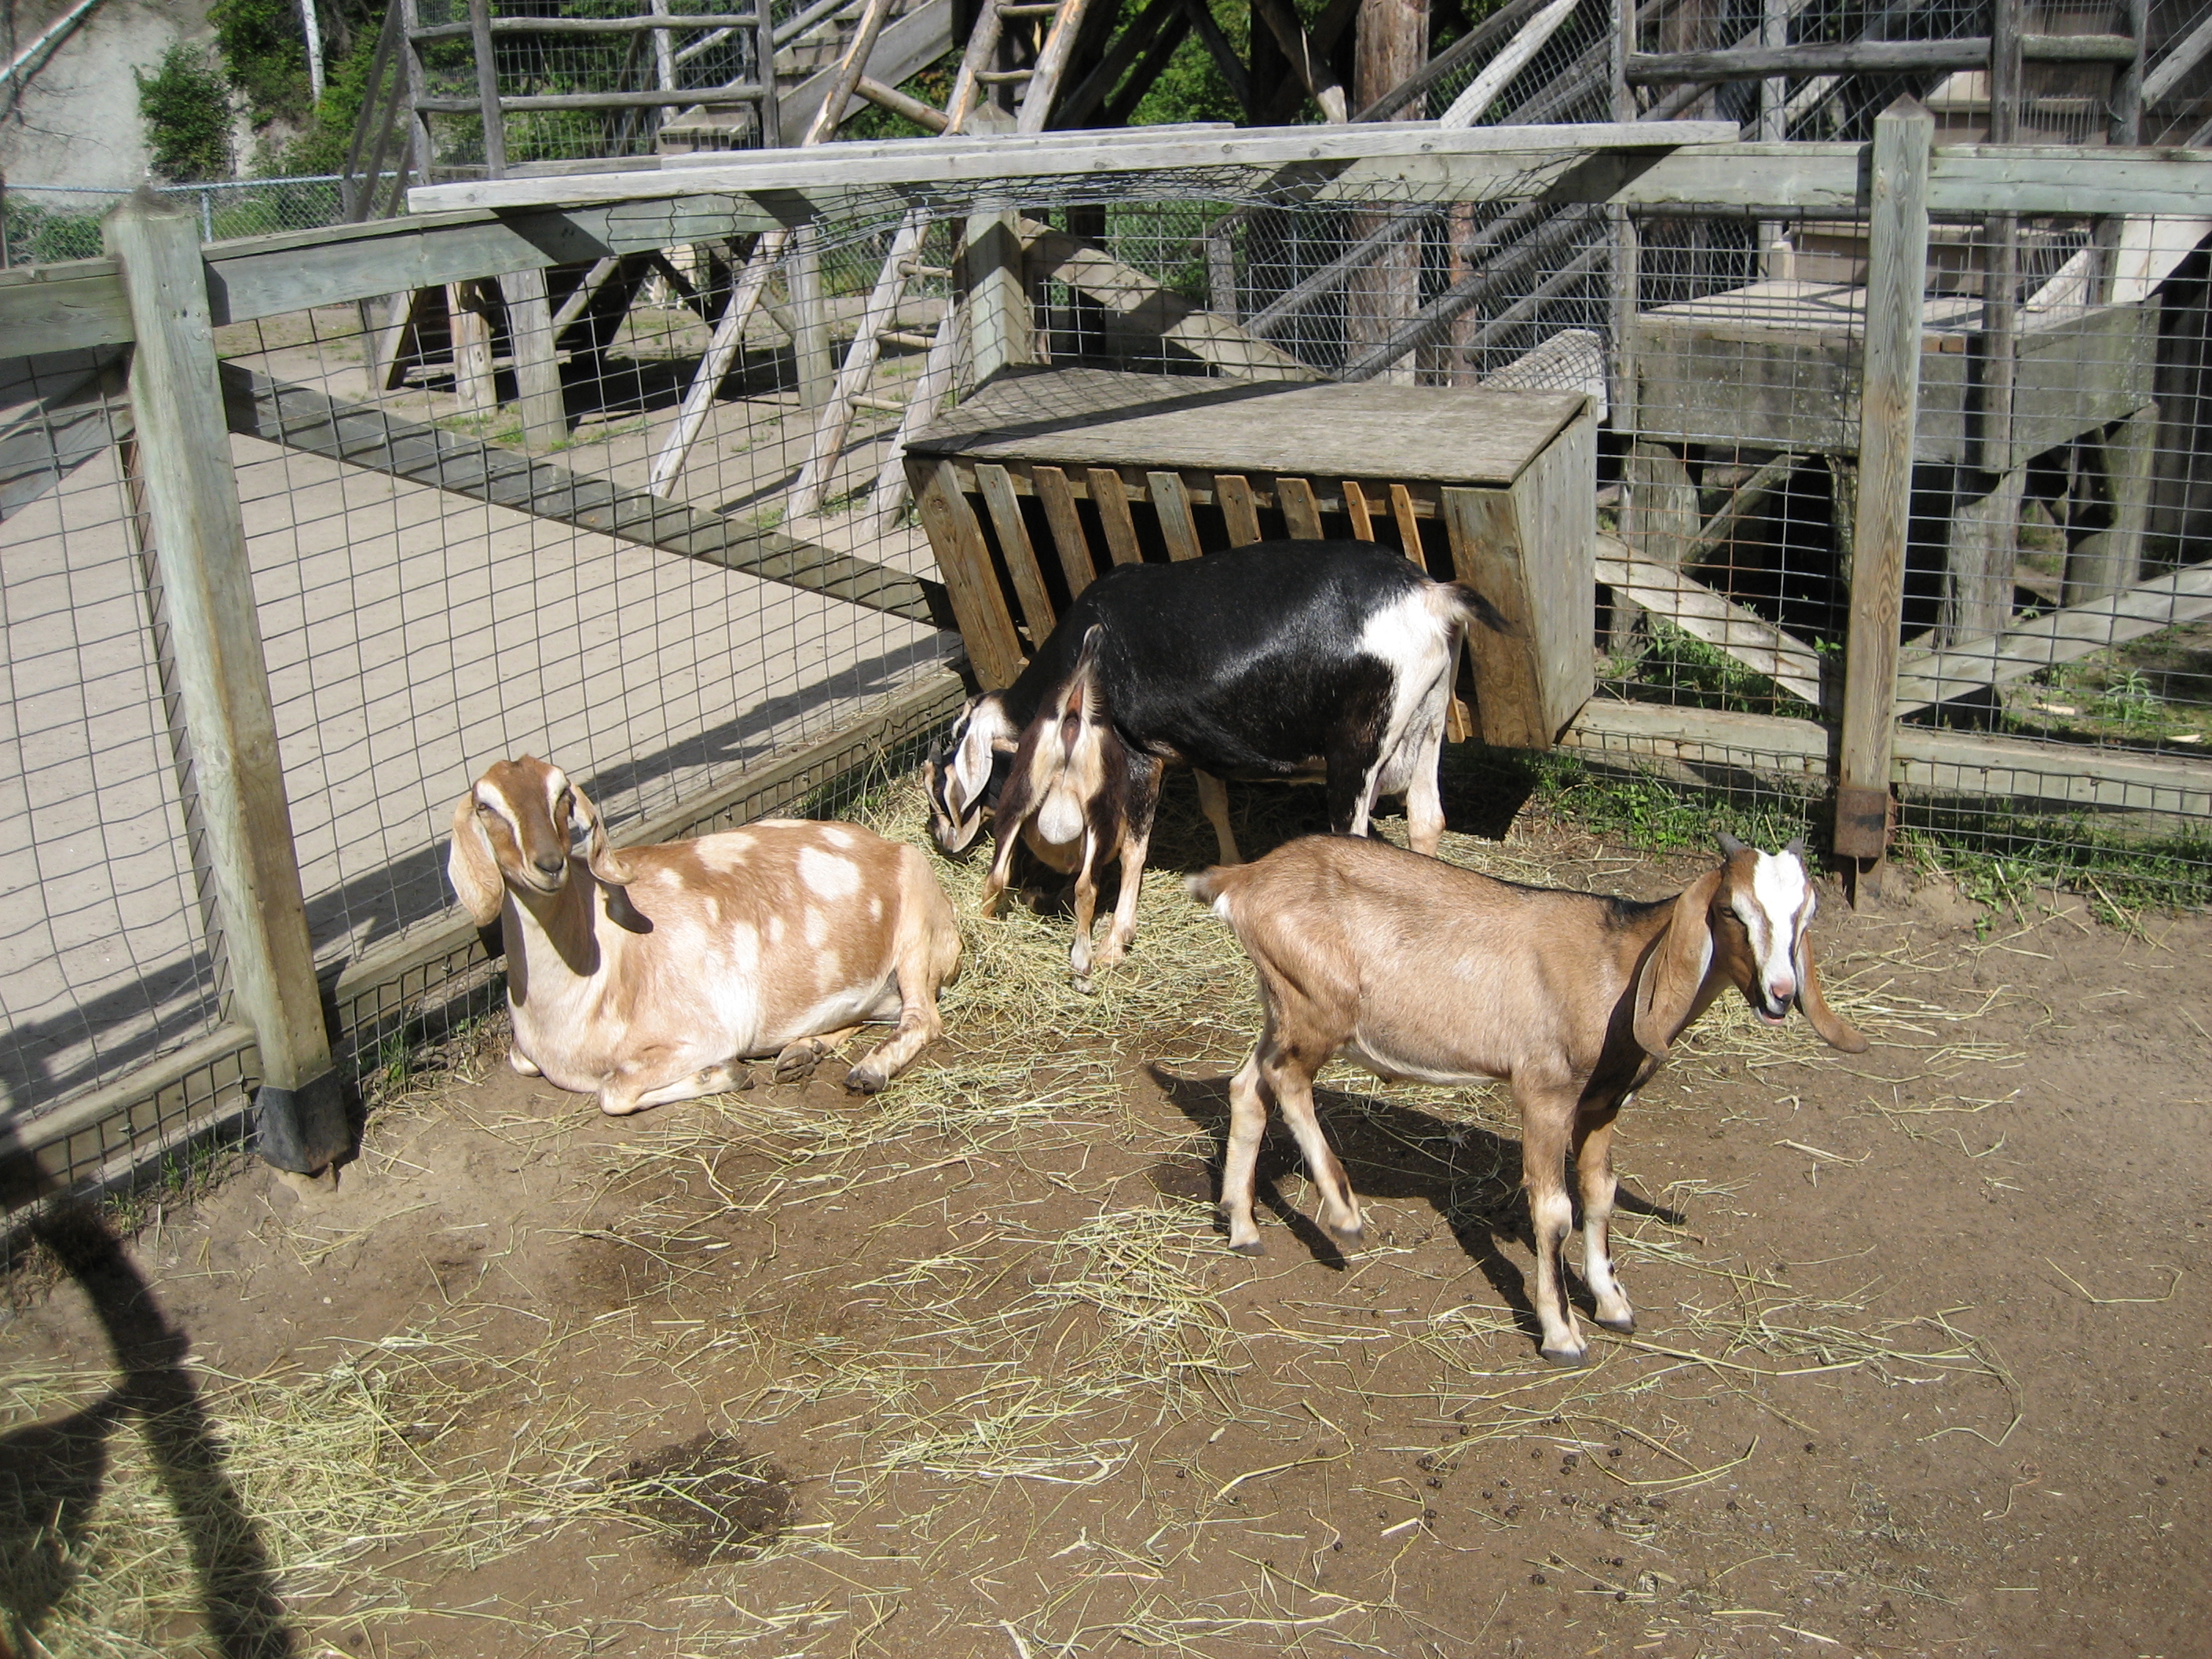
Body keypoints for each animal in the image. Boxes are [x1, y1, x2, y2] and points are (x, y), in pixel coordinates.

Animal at [448, 755, 961, 1114]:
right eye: (485, 804)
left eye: (562, 796)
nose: (548, 864)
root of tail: (892, 846)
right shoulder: (527, 1053)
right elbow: (526, 1061)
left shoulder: (701, 1034)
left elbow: (613, 1091)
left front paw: (725, 1076)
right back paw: (801, 1052)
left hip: (916, 932)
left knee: (922, 1018)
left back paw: (866, 1071)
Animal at [927, 539, 1507, 973]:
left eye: (942, 781)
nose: (941, 839)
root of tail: (1431, 596)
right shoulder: (1199, 743)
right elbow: (1214, 807)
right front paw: (1228, 871)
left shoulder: (1139, 751)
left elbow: (1135, 846)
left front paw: (1116, 941)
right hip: (1430, 718)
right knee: (1427, 821)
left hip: (1359, 745)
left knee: (1358, 841)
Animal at [1190, 832, 1867, 1365]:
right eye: (1732, 910)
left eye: (1805, 914)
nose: (1781, 994)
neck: (1618, 965)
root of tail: (1244, 879)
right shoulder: (1545, 1092)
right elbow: (1555, 1211)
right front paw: (1561, 1333)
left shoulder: (1600, 1104)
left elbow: (1600, 1194)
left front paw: (1613, 1303)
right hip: (1316, 1009)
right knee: (1286, 1079)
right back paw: (1345, 1213)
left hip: (1282, 1006)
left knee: (1248, 1085)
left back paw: (1243, 1226)